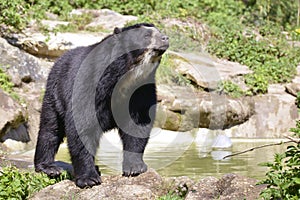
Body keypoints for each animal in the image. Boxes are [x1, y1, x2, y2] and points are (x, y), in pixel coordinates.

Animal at [34, 22, 170, 188]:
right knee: (50, 128)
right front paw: (89, 179)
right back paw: (48, 167)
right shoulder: (90, 82)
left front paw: (135, 167)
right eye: (146, 35)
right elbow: (82, 125)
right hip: (55, 91)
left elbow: (137, 122)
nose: (165, 38)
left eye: (159, 31)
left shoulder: (141, 89)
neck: (127, 73)